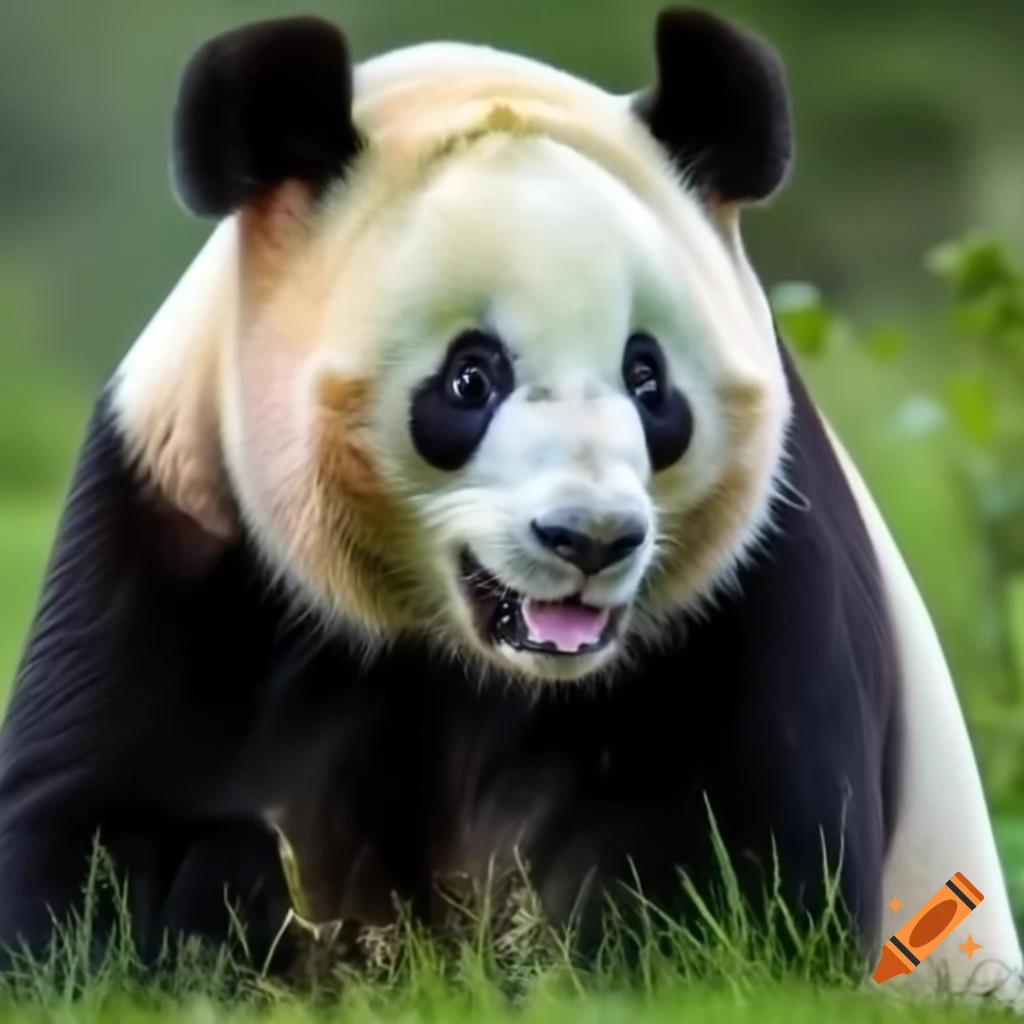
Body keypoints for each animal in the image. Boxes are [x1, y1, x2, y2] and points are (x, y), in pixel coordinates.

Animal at [0, 5, 1020, 1003]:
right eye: (470, 376)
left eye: (648, 377)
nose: (591, 539)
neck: (469, 653)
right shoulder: (178, 525)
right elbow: (78, 829)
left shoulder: (751, 573)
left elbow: (744, 874)